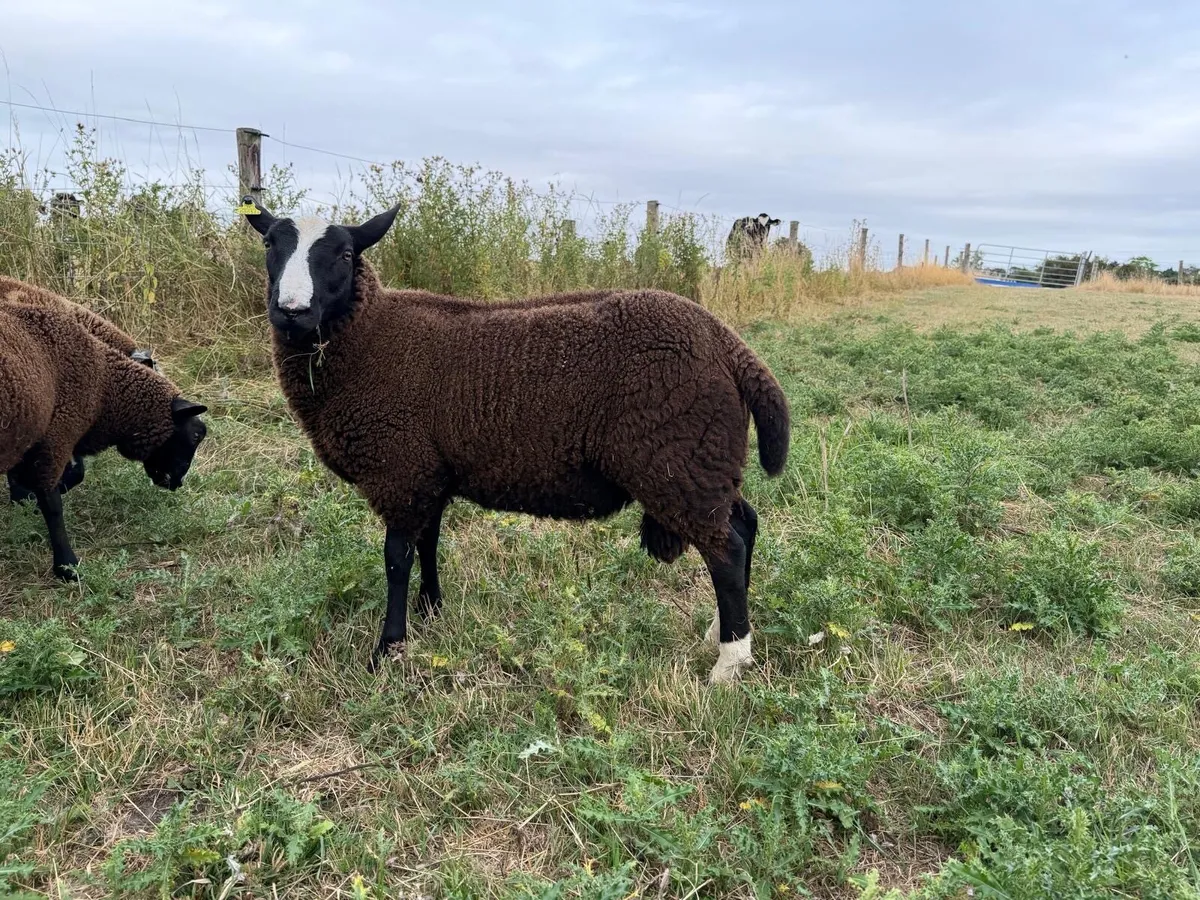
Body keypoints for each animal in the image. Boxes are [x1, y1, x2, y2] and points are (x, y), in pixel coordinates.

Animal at [0, 302, 208, 580]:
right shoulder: (54, 439)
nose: (178, 483)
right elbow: (53, 505)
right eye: (196, 434)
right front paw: (67, 566)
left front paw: (23, 500)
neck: (104, 386)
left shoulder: (32, 439)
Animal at [242, 198, 790, 684]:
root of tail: (725, 342)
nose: (292, 310)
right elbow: (428, 542)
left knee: (726, 550)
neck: (371, 337)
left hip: (677, 460)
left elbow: (396, 558)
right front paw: (432, 609)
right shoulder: (428, 472)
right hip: (706, 458)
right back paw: (720, 632)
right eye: (270, 244)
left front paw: (389, 649)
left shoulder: (399, 469)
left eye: (345, 254)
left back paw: (729, 663)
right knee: (744, 524)